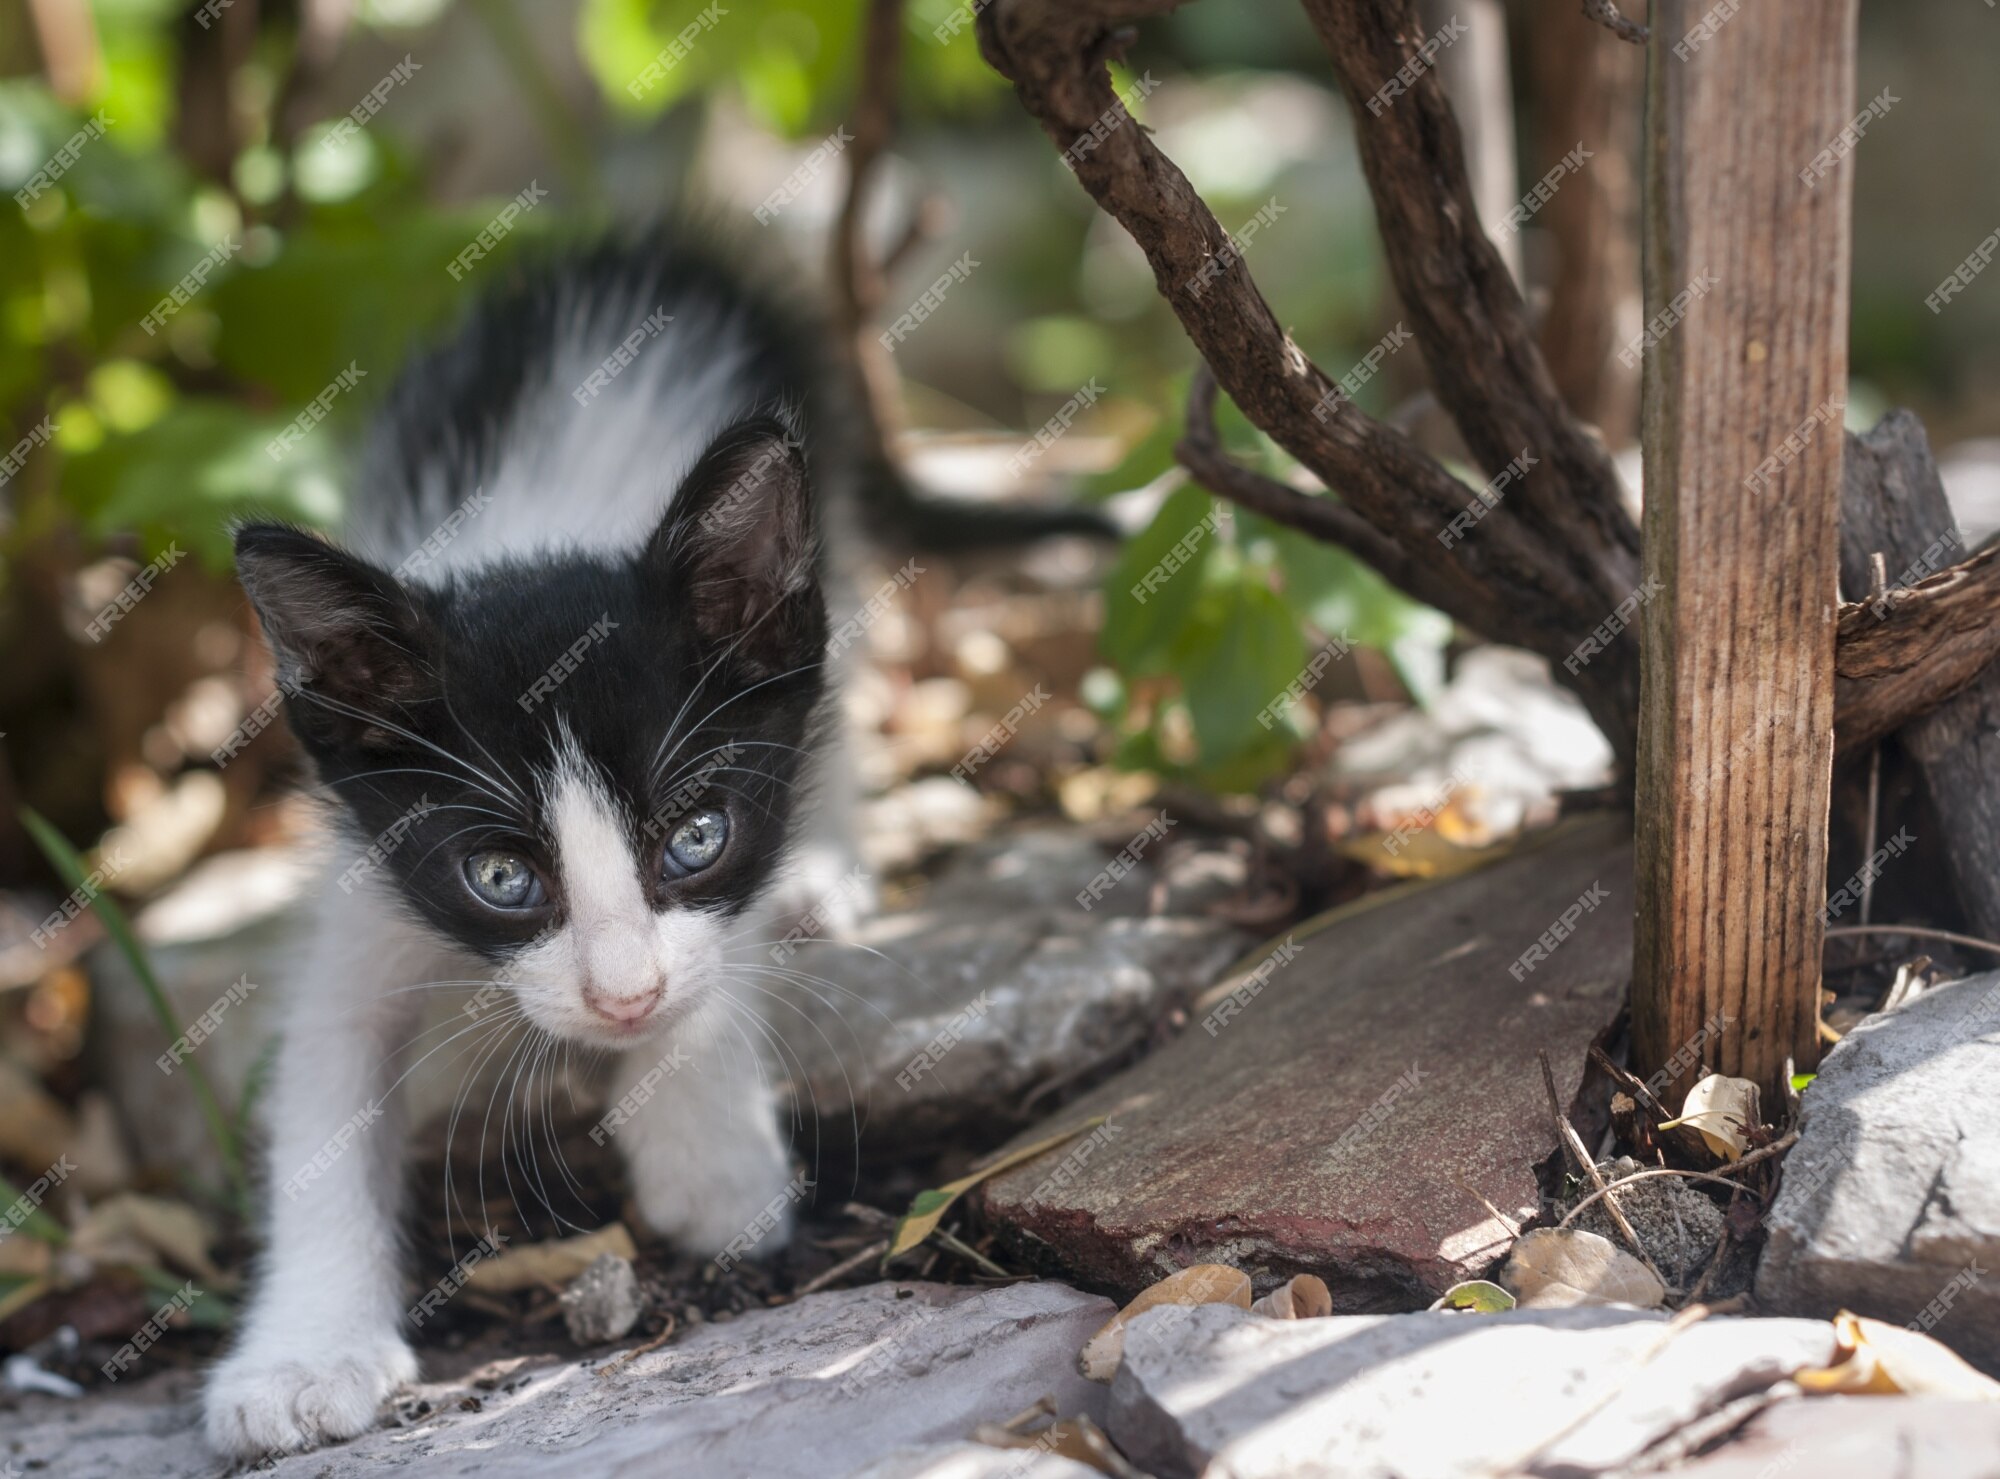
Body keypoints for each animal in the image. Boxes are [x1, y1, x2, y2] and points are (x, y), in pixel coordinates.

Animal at [207, 233, 856, 1455]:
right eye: (501, 877)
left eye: (695, 837)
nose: (621, 998)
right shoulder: (373, 887)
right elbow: (323, 1082)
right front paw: (301, 1354)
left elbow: (721, 948)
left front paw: (710, 1156)